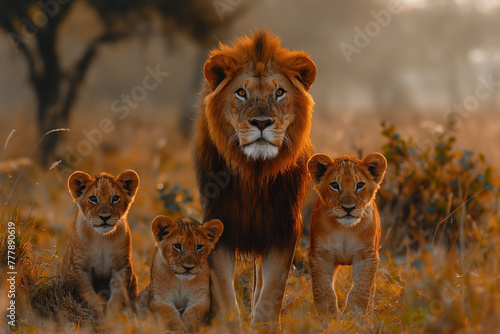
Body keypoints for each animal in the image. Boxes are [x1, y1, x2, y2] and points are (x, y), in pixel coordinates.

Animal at [192, 30, 316, 328]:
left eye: (279, 92)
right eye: (241, 92)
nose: (261, 123)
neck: (254, 172)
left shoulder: (283, 228)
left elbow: (271, 292)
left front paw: (264, 326)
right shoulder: (219, 224)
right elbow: (225, 296)